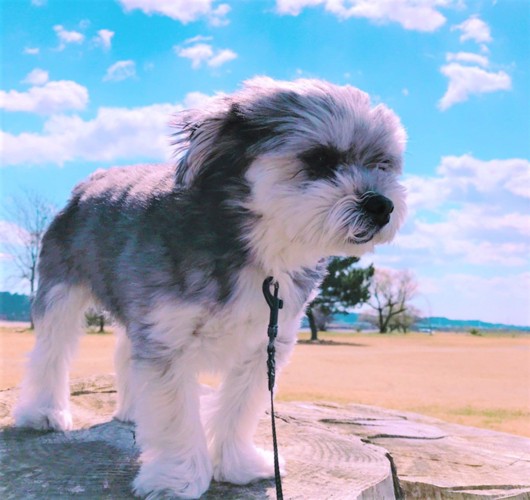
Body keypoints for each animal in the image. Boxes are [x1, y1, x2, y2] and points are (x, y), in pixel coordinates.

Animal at [14, 76, 406, 498]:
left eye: (382, 164)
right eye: (318, 160)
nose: (381, 205)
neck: (261, 250)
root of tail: (89, 182)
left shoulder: (265, 342)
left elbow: (240, 408)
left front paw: (237, 465)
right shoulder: (168, 338)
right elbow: (175, 417)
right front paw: (177, 479)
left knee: (123, 354)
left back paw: (133, 411)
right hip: (61, 292)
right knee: (51, 352)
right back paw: (43, 413)